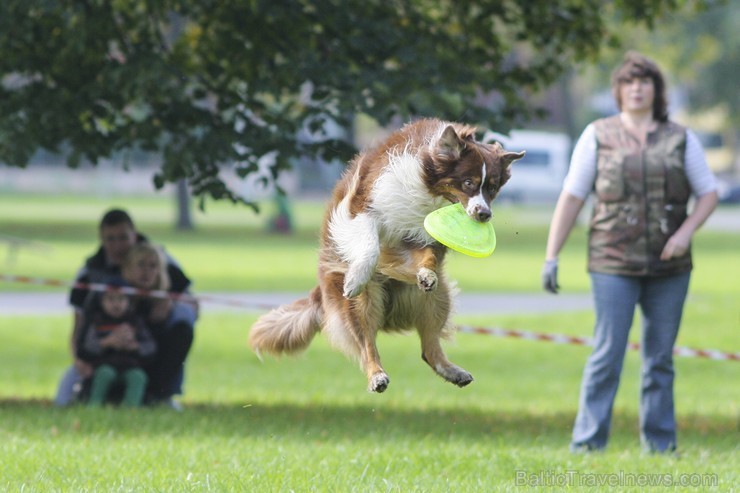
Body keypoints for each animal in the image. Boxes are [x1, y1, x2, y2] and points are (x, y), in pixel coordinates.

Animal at [251, 118, 524, 392]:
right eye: (468, 182)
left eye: (492, 188)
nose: (484, 214)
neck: (429, 192)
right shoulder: (363, 207)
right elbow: (370, 243)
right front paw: (356, 277)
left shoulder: (421, 238)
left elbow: (428, 255)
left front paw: (426, 274)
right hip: (360, 302)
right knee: (365, 344)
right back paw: (377, 375)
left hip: (437, 299)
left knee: (429, 347)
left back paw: (453, 371)